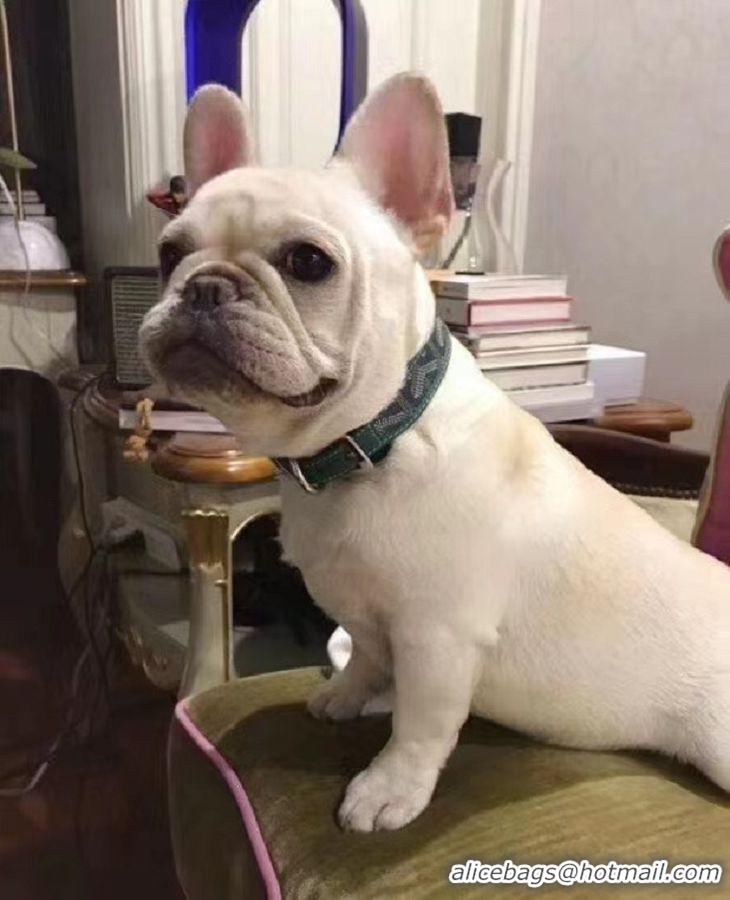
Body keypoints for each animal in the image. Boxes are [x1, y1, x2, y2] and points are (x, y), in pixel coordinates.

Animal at [140, 73, 730, 832]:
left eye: (307, 262)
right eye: (168, 254)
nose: (204, 286)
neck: (371, 443)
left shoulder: (438, 638)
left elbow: (420, 725)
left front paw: (390, 789)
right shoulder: (364, 616)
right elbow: (363, 658)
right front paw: (346, 696)